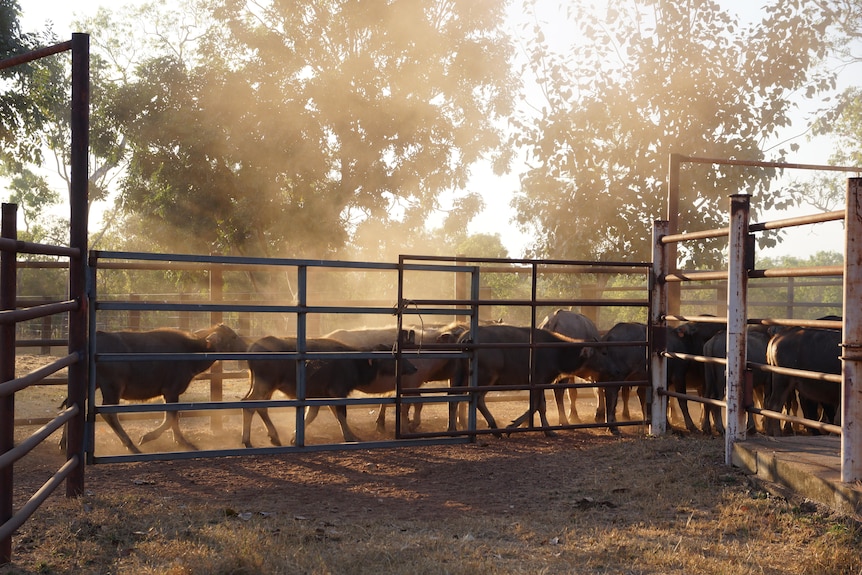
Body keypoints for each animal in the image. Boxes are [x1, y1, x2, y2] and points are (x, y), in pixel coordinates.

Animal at [243, 336, 418, 448]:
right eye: (392, 358)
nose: (413, 368)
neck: (355, 363)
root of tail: (252, 348)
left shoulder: (320, 396)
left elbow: (313, 415)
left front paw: (294, 436)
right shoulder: (338, 392)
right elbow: (341, 415)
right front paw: (350, 437)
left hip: (266, 386)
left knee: (261, 407)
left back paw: (274, 437)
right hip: (265, 384)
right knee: (249, 404)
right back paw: (248, 441)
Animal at [448, 324, 592, 436]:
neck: (556, 351)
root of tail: (465, 338)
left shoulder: (539, 385)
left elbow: (540, 405)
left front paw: (547, 430)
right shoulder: (540, 381)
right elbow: (538, 405)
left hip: (461, 377)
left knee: (454, 397)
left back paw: (452, 429)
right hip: (486, 378)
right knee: (478, 399)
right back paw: (494, 428)